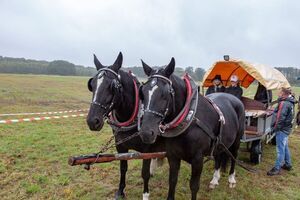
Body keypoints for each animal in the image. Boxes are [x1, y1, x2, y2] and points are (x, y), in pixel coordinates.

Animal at [86, 52, 165, 199]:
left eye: (111, 86)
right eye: (92, 85)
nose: (92, 121)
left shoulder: (147, 149)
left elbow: (144, 173)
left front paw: (146, 193)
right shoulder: (120, 146)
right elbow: (123, 168)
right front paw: (120, 191)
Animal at [139, 58, 245, 200]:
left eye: (165, 94)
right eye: (143, 92)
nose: (146, 133)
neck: (189, 118)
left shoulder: (197, 160)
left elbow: (194, 186)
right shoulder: (173, 156)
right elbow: (172, 181)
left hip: (236, 141)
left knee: (234, 156)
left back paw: (231, 179)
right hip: (220, 142)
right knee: (218, 157)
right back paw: (215, 179)